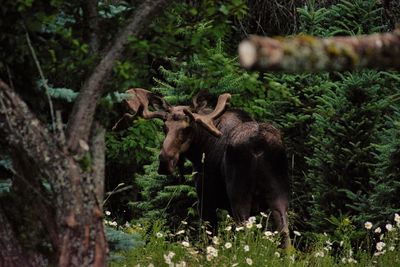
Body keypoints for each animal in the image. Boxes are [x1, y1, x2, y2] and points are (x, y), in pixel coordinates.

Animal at [115, 89, 290, 248]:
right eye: (164, 127)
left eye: (187, 128)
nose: (165, 161)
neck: (201, 148)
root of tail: (259, 143)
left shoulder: (205, 199)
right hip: (278, 196)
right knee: (285, 235)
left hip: (239, 196)